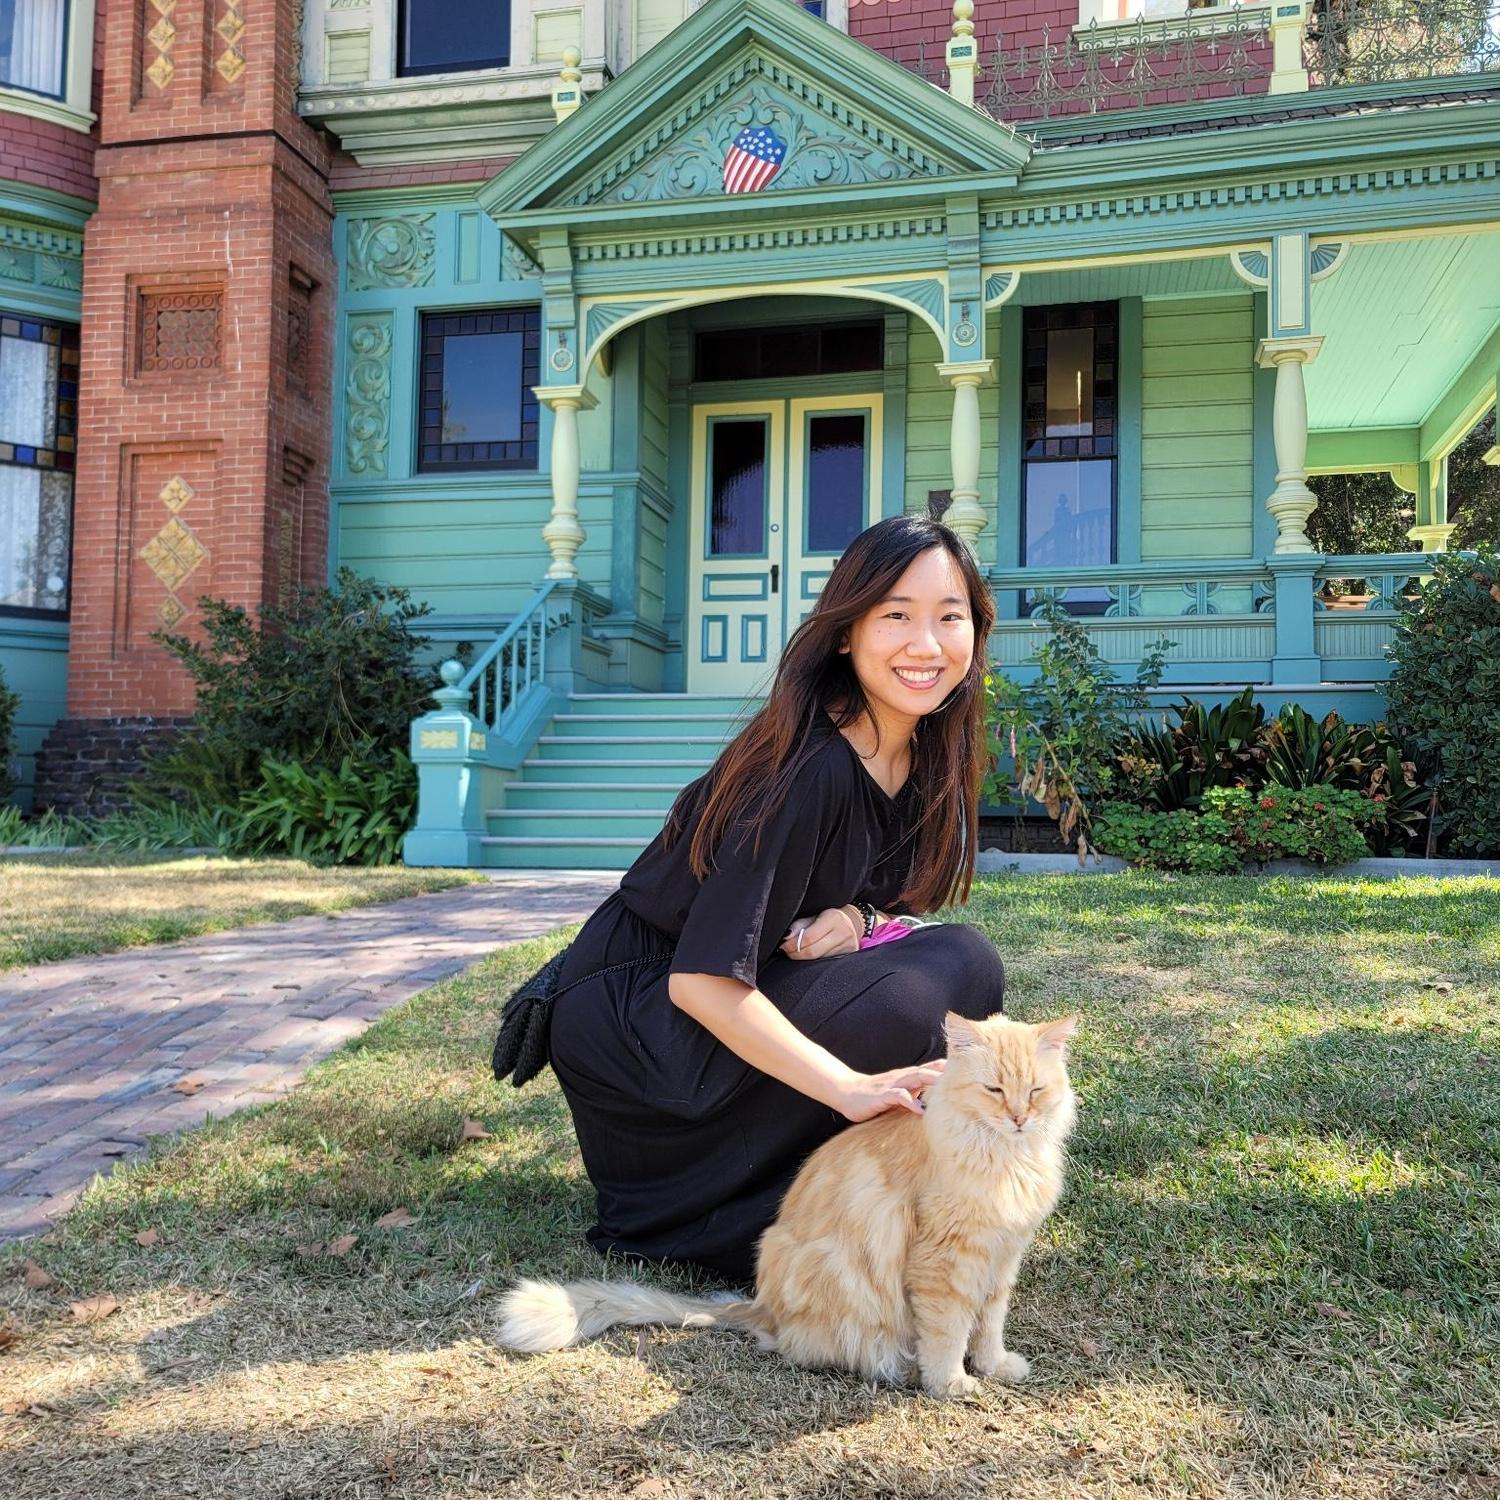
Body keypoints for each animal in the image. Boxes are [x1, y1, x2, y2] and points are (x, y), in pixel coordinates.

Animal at [497, 1011, 1078, 1398]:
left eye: (1035, 1091)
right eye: (995, 1089)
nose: (1020, 1118)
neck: (1006, 1160)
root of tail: (761, 1304)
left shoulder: (1001, 1258)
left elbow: (989, 1325)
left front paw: (995, 1366)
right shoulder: (944, 1264)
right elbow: (949, 1332)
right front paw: (952, 1382)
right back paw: (901, 1369)